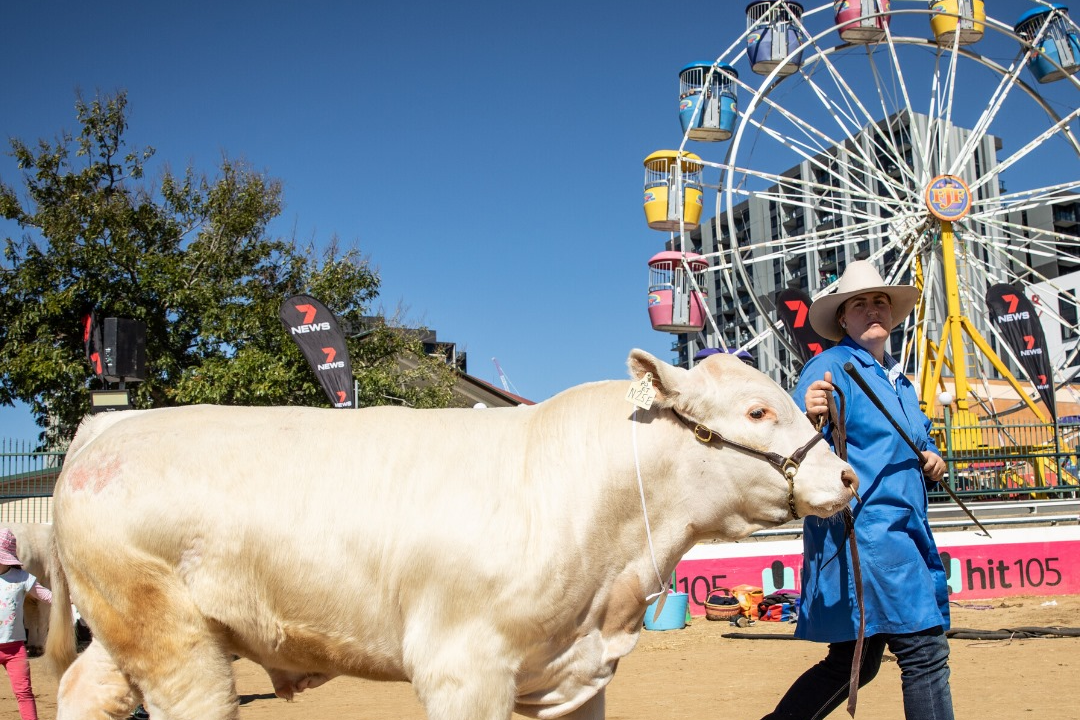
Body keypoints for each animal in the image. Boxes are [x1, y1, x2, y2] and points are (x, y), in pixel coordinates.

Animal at [46, 349, 855, 720]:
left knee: (84, 690)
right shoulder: (462, 667)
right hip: (171, 636)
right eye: (757, 411)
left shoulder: (575, 676)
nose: (846, 477)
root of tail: (107, 430)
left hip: (128, 631)